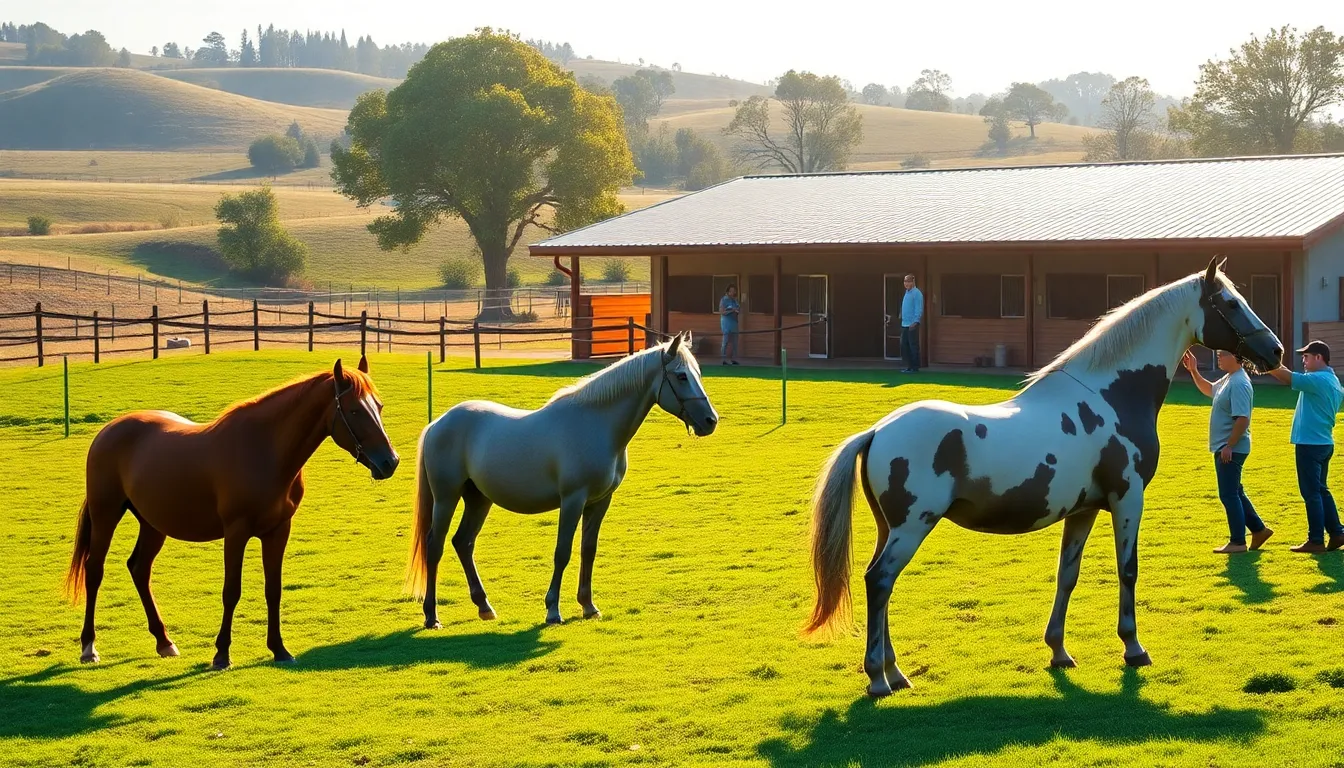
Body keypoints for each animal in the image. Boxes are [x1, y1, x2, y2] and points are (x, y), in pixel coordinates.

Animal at [65, 357, 400, 670]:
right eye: (354, 410)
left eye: (379, 406)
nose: (390, 462)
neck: (264, 450)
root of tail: (109, 430)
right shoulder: (236, 532)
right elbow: (232, 591)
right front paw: (222, 654)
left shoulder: (278, 531)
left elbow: (273, 589)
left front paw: (279, 649)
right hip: (106, 514)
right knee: (94, 570)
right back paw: (89, 647)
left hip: (152, 524)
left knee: (139, 568)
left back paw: (164, 641)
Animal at [405, 331, 719, 627]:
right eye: (681, 376)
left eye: (698, 374)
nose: (710, 421)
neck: (596, 424)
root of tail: (438, 423)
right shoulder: (572, 500)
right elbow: (563, 552)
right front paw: (553, 610)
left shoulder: (600, 501)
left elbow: (588, 550)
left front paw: (588, 606)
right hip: (446, 498)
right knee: (435, 546)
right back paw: (432, 616)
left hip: (478, 499)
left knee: (464, 542)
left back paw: (484, 607)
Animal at [805, 257, 1283, 697]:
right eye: (1230, 303)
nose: (1275, 351)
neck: (1111, 395)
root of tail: (877, 431)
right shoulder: (1127, 498)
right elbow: (1127, 569)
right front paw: (1133, 648)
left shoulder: (1085, 510)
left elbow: (1066, 575)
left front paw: (1058, 651)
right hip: (910, 528)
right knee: (879, 581)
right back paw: (877, 679)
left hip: (890, 528)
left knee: (880, 584)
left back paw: (896, 673)